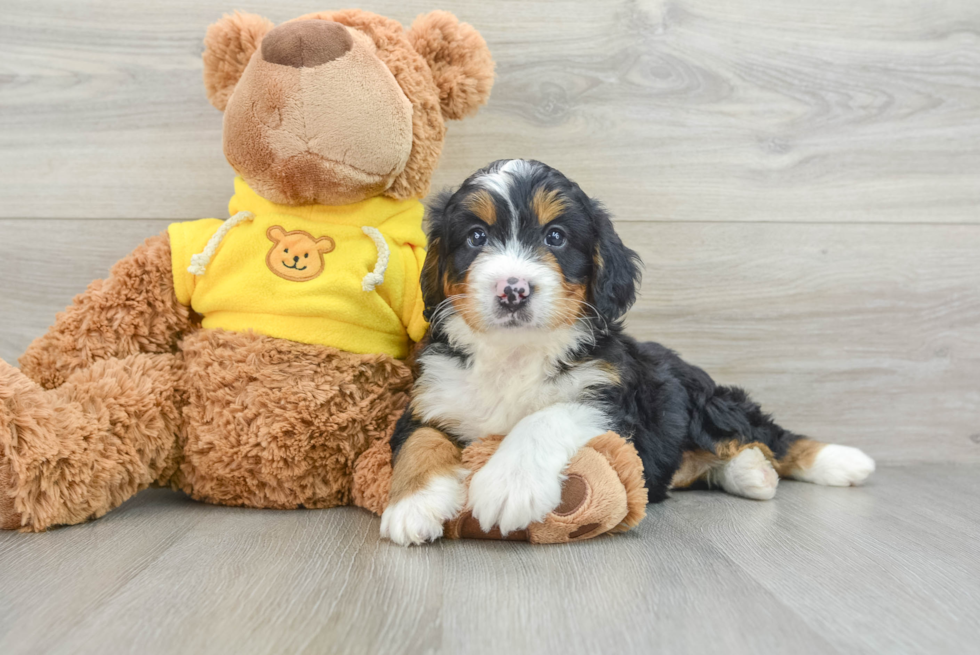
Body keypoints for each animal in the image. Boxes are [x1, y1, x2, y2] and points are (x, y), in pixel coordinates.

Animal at [378, 160, 876, 548]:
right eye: (476, 237)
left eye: (556, 237)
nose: (513, 290)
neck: (516, 352)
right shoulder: (430, 398)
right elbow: (420, 442)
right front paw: (412, 505)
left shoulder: (613, 402)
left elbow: (545, 417)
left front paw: (508, 485)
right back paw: (750, 473)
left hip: (708, 403)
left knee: (770, 435)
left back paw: (840, 461)